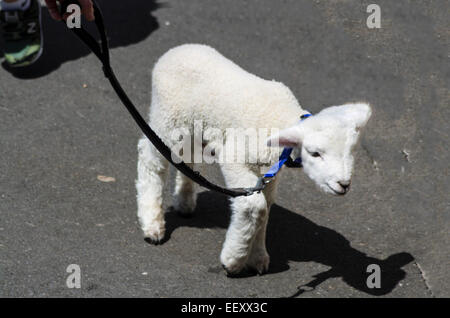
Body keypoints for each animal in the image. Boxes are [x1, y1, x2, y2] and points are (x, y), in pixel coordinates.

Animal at [136, 44, 372, 276]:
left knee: (186, 155)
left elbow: (266, 207)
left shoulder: (268, 172)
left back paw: (184, 201)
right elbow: (254, 207)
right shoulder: (235, 156)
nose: (344, 184)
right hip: (167, 118)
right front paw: (234, 260)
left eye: (351, 151)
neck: (281, 119)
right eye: (315, 153)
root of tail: (175, 51)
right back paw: (152, 223)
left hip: (195, 126)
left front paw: (257, 257)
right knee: (151, 159)